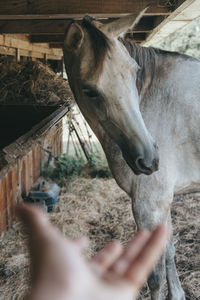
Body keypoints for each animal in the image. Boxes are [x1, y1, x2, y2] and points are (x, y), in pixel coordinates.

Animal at [63, 9, 200, 300]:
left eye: (135, 71)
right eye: (89, 90)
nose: (149, 159)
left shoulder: (149, 203)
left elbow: (154, 277)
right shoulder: (160, 202)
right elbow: (168, 251)